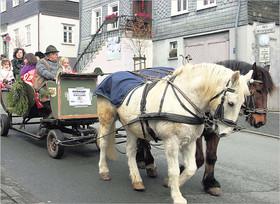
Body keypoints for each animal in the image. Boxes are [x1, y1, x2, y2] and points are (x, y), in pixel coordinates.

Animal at [96, 63, 252, 203]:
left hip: (132, 127)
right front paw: (177, 196)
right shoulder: (171, 142)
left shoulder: (190, 141)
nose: (225, 132)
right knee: (103, 143)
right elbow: (174, 170)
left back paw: (137, 180)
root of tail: (110, 76)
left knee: (130, 150)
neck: (184, 100)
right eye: (231, 103)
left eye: (243, 103)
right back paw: (104, 171)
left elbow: (191, 168)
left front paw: (170, 183)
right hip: (107, 119)